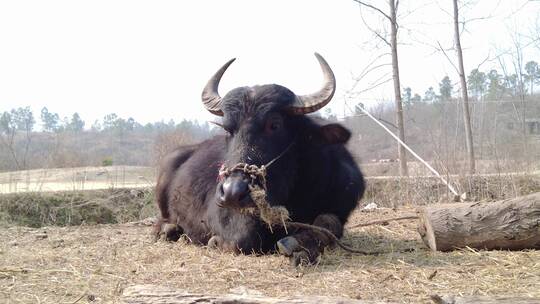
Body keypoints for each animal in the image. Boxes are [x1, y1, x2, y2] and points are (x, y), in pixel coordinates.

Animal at [154, 53, 364, 264]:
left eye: (274, 125)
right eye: (227, 129)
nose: (232, 192)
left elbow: (329, 222)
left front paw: (299, 245)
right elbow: (243, 238)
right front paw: (215, 241)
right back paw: (168, 230)